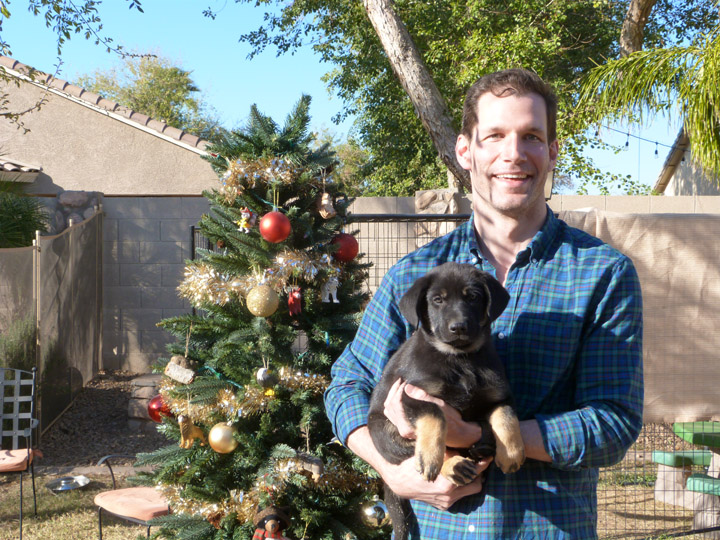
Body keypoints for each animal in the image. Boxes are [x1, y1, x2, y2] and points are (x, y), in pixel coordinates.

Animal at [368, 260, 524, 536]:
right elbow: (435, 414)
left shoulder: (498, 395)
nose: (458, 327)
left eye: (473, 297)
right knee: (412, 451)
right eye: (438, 300)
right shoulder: (408, 395)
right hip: (386, 432)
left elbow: (506, 417)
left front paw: (512, 454)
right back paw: (452, 464)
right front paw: (432, 456)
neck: (461, 359)